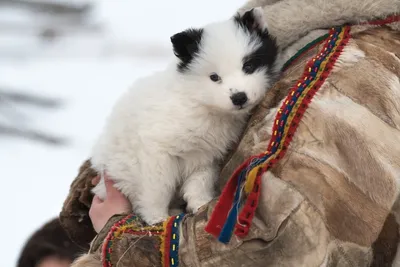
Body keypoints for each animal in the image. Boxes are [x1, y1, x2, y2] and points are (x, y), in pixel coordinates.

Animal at [91, 7, 280, 226]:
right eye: (214, 77)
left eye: (248, 66)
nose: (239, 97)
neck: (201, 104)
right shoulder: (157, 151)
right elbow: (158, 188)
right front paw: (157, 218)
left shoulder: (206, 155)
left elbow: (200, 181)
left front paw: (201, 204)